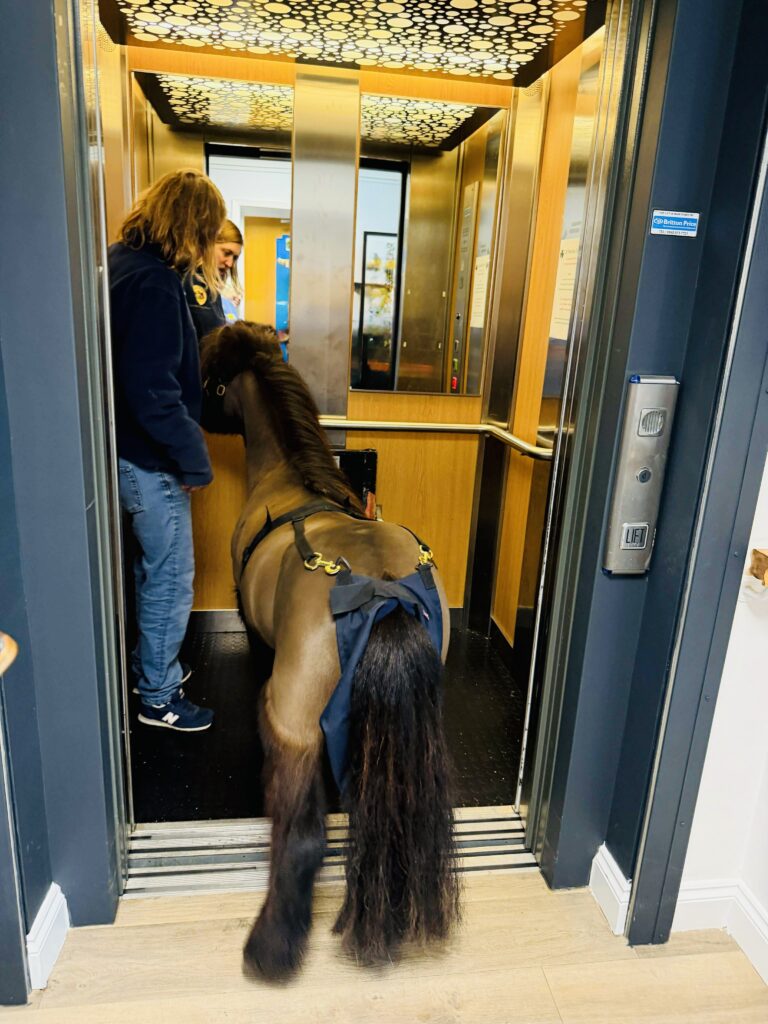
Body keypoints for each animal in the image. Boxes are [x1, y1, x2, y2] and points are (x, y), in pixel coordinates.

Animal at [199, 320, 460, 981]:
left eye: (212, 367)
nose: (194, 407)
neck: (290, 480)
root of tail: (385, 588)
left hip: (293, 724)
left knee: (301, 838)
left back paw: (272, 947)